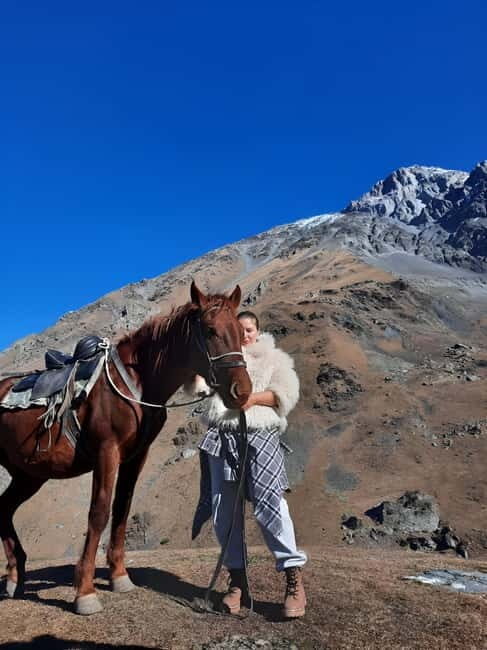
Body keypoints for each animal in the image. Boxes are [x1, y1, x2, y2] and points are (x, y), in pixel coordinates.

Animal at [0, 282, 251, 615]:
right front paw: (85, 592)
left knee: (3, 509)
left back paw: (15, 578)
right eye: (210, 330)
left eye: (239, 330)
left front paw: (119, 577)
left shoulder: (135, 457)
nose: (242, 390)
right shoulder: (107, 451)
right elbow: (99, 512)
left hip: (28, 474)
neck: (137, 381)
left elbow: (122, 508)